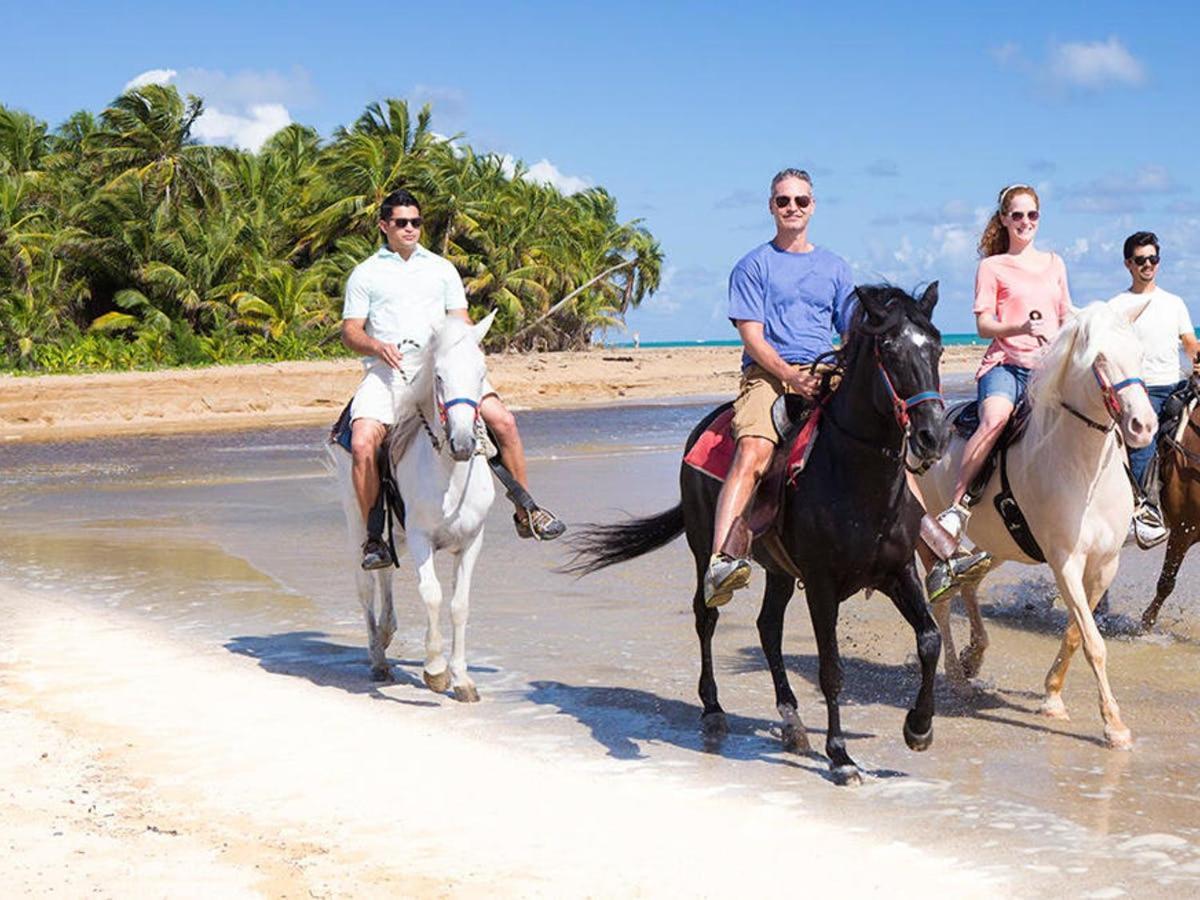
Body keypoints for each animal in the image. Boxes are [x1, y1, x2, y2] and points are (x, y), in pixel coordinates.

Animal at [328, 314, 496, 700]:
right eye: (439, 377)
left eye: (481, 372)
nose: (463, 443)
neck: (449, 474)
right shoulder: (421, 539)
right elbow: (432, 595)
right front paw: (435, 671)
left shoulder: (472, 541)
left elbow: (459, 605)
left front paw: (462, 680)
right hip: (357, 523)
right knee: (366, 584)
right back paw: (377, 658)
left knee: (385, 571)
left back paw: (387, 633)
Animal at [566, 285, 950, 787]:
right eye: (889, 350)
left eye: (937, 349)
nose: (932, 436)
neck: (854, 475)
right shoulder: (822, 585)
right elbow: (831, 669)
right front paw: (841, 756)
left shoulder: (897, 571)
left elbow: (929, 640)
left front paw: (918, 728)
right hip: (704, 549)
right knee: (706, 618)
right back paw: (713, 708)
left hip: (781, 571)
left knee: (768, 628)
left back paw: (791, 720)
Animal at [912, 307, 1156, 748]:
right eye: (1099, 360)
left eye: (1139, 353)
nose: (1143, 426)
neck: (1083, 469)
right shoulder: (1065, 562)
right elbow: (1093, 641)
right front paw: (1114, 725)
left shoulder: (1104, 564)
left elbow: (1076, 633)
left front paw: (1052, 697)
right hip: (937, 535)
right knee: (942, 597)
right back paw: (957, 678)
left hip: (1000, 545)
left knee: (969, 583)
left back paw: (974, 656)